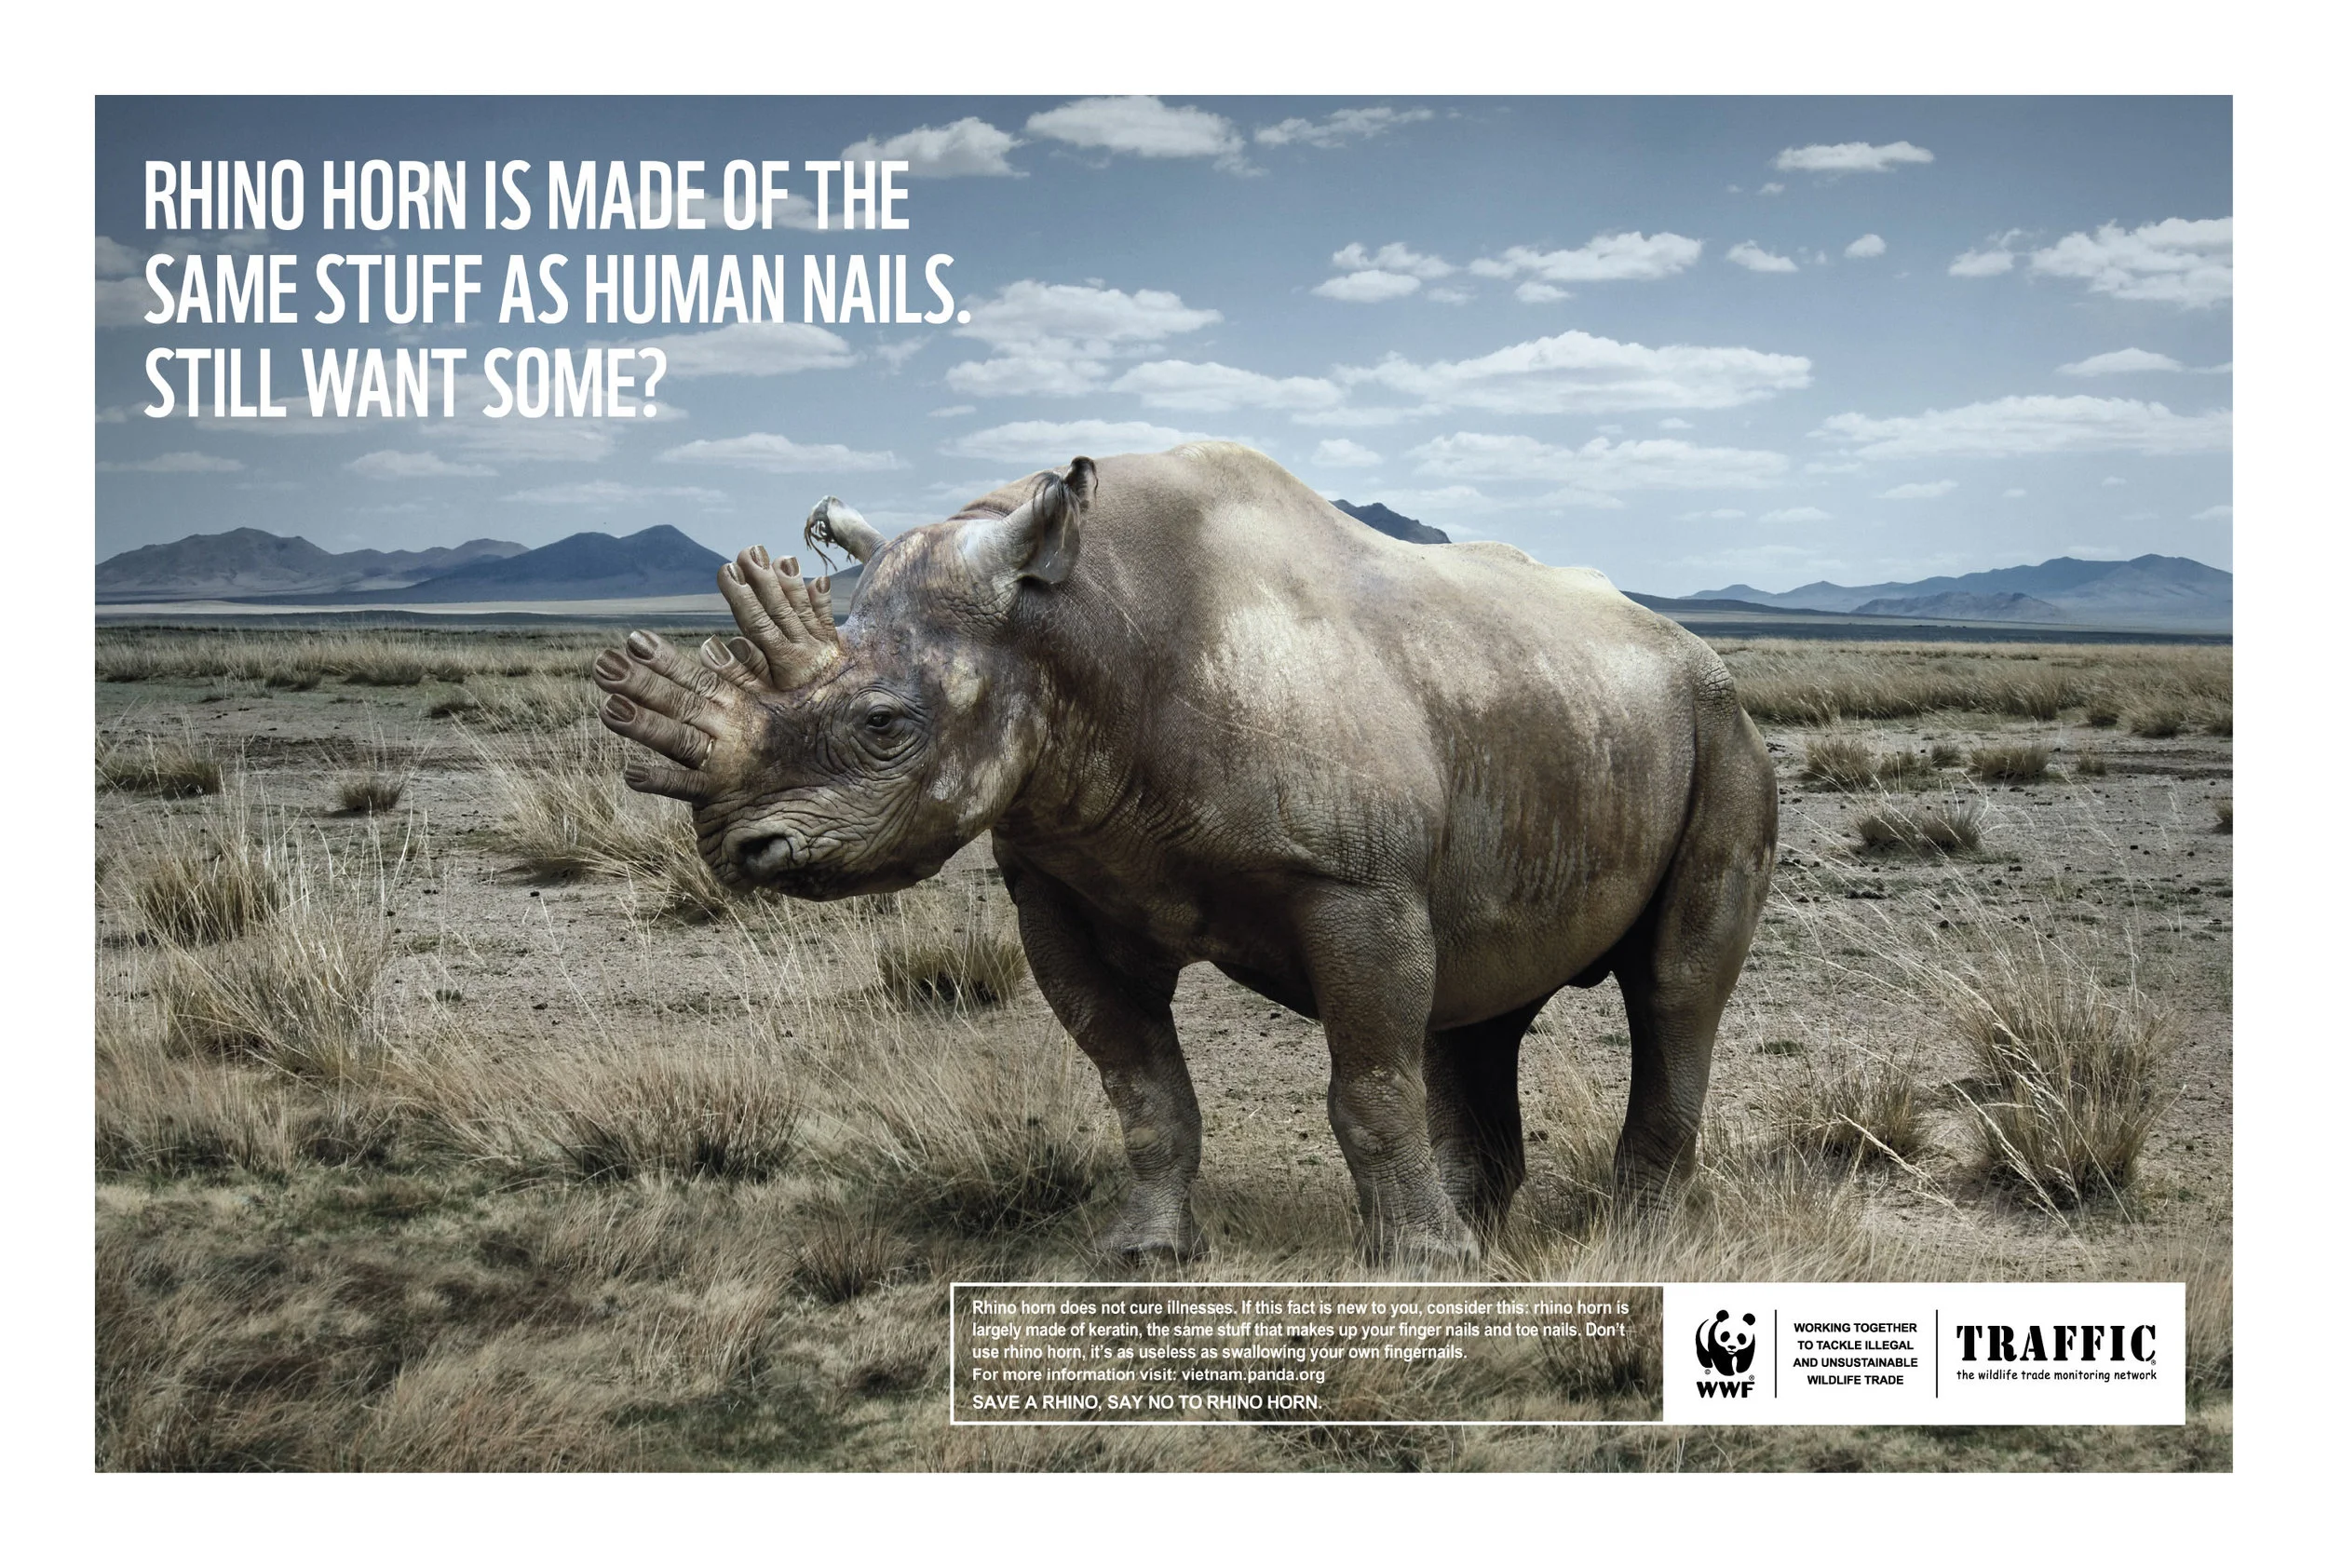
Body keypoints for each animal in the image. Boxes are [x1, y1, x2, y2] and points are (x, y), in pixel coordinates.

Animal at [592, 442, 1776, 1265]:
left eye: (886, 726)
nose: (736, 847)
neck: (1070, 627)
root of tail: (1677, 637)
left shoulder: (1353, 883)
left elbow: (1369, 1078)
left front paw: (1419, 1267)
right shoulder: (1059, 882)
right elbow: (1143, 1088)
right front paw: (1145, 1253)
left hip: (1721, 726)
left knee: (1673, 988)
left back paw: (1628, 1239)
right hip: (1547, 704)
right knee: (1477, 994)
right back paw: (1481, 1221)